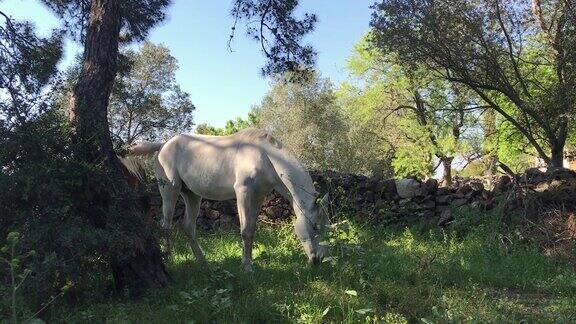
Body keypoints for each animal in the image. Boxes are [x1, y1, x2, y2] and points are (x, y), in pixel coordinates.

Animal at [125, 128, 328, 270]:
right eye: (315, 226)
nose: (317, 260)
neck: (265, 155)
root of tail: (162, 145)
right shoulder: (243, 192)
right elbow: (246, 230)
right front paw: (247, 267)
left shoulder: (258, 196)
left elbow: (252, 228)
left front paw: (248, 262)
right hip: (170, 191)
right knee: (166, 226)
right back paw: (169, 259)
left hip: (192, 196)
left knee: (188, 227)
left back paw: (203, 262)